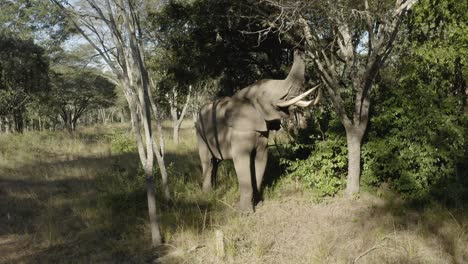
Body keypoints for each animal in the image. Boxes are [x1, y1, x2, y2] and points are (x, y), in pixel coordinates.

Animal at [195, 50, 322, 212]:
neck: (246, 92)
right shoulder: (239, 132)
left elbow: (261, 160)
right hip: (200, 132)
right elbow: (242, 163)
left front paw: (259, 204)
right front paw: (246, 212)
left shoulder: (262, 135)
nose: (297, 49)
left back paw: (215, 189)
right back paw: (208, 194)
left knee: (215, 162)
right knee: (208, 160)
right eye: (265, 93)